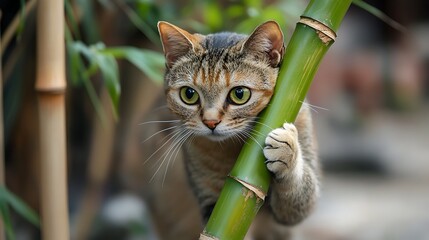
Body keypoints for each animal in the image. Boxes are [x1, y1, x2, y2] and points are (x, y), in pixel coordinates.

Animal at [153, 21, 318, 240]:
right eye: (189, 94)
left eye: (239, 94)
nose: (211, 122)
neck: (232, 150)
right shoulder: (210, 202)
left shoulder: (291, 213)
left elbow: (299, 193)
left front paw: (287, 149)